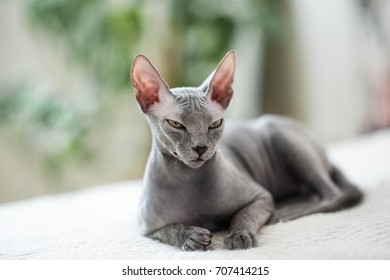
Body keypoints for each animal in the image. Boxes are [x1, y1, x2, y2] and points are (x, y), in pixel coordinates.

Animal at [130, 50, 362, 252]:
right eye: (175, 124)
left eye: (215, 124)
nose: (200, 147)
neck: (188, 180)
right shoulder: (147, 228)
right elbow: (171, 230)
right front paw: (190, 236)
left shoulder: (260, 197)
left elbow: (243, 215)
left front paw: (239, 235)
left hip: (284, 140)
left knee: (334, 195)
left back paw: (287, 211)